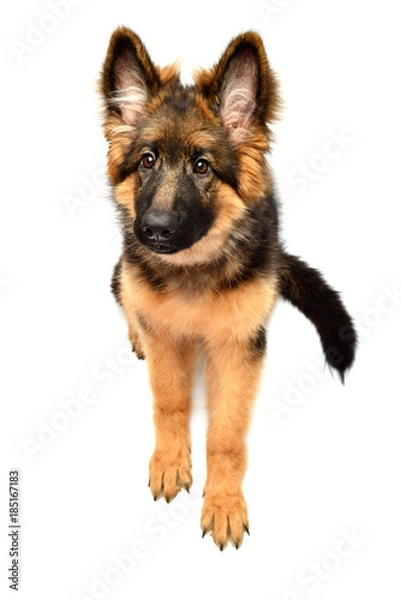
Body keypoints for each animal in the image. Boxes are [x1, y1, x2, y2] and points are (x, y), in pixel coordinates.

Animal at [98, 30, 354, 552]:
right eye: (147, 160)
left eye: (202, 166)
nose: (153, 232)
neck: (194, 269)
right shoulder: (165, 336)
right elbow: (169, 401)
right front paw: (170, 461)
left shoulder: (240, 347)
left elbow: (227, 436)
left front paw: (224, 503)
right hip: (120, 275)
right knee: (129, 304)